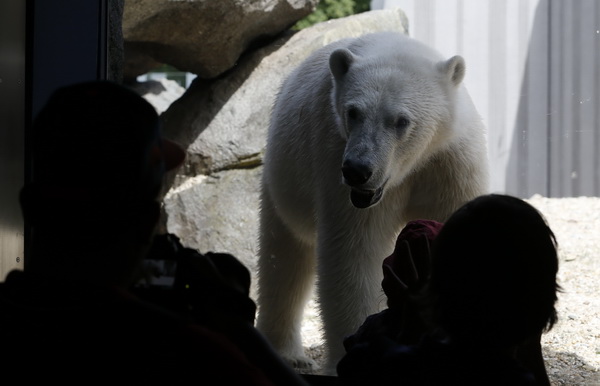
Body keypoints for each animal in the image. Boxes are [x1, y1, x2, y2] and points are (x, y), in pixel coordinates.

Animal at [255, 31, 490, 372]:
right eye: (353, 112)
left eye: (401, 121)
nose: (357, 170)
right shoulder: (334, 156)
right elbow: (354, 254)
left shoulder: (450, 163)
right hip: (284, 176)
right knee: (284, 258)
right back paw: (289, 354)